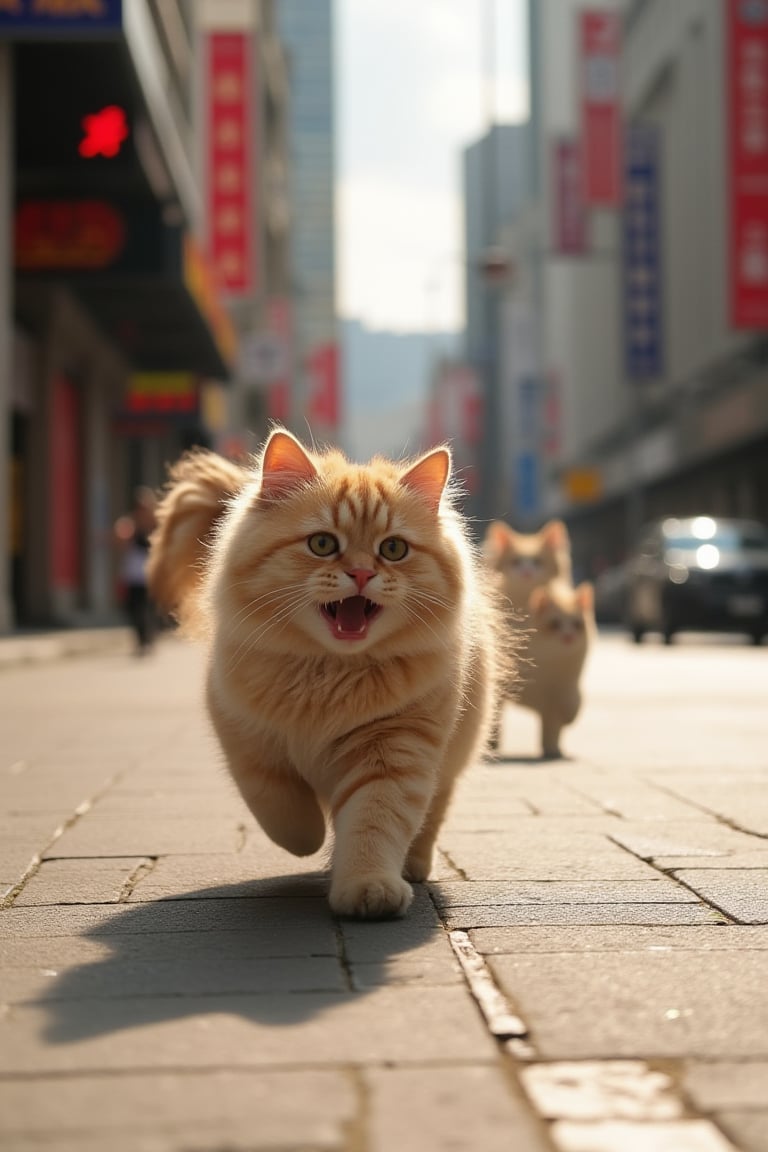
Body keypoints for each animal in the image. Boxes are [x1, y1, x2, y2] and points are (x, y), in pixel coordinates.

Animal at [149, 428, 511, 921]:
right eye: (322, 544)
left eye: (393, 549)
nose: (360, 573)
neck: (329, 672)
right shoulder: (244, 737)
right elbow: (281, 809)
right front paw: (310, 842)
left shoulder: (394, 751)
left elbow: (373, 825)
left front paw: (369, 888)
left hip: (452, 757)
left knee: (430, 818)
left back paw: (413, 866)